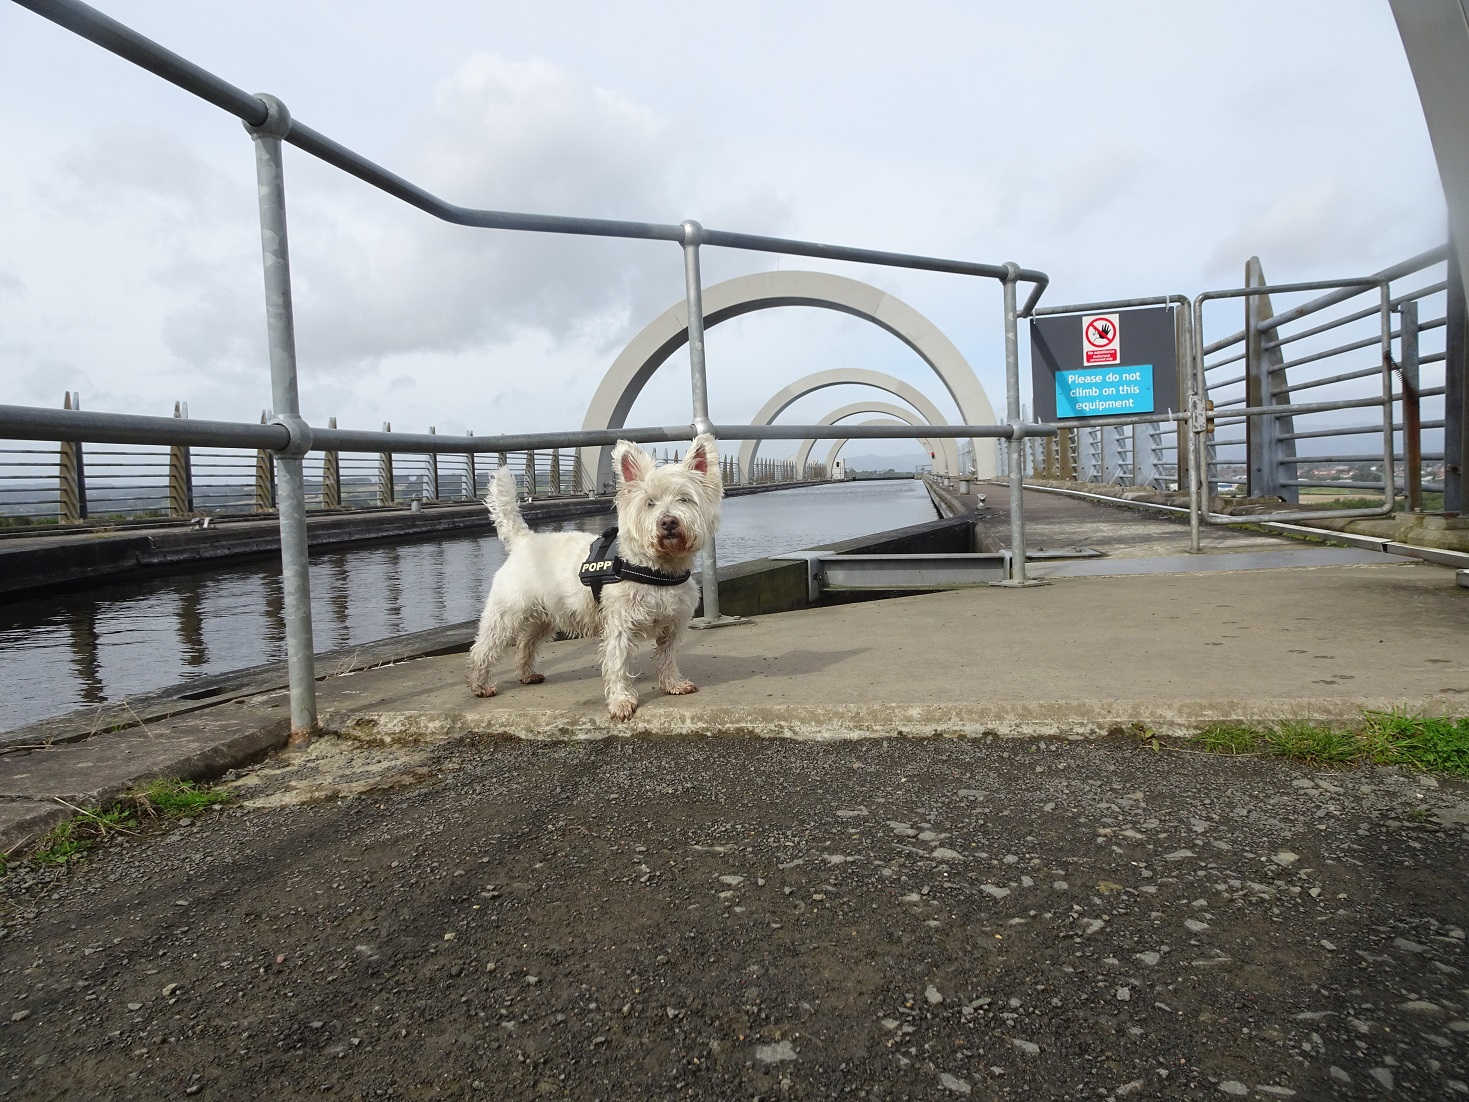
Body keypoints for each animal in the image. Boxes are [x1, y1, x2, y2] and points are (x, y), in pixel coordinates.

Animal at [464, 434, 722, 719]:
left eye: (684, 499)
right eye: (650, 502)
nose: (668, 522)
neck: (657, 569)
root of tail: (523, 540)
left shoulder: (673, 624)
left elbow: (667, 656)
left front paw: (673, 684)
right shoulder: (620, 623)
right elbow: (618, 663)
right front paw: (622, 702)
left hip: (545, 616)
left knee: (525, 643)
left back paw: (527, 674)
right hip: (506, 612)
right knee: (484, 647)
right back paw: (480, 685)